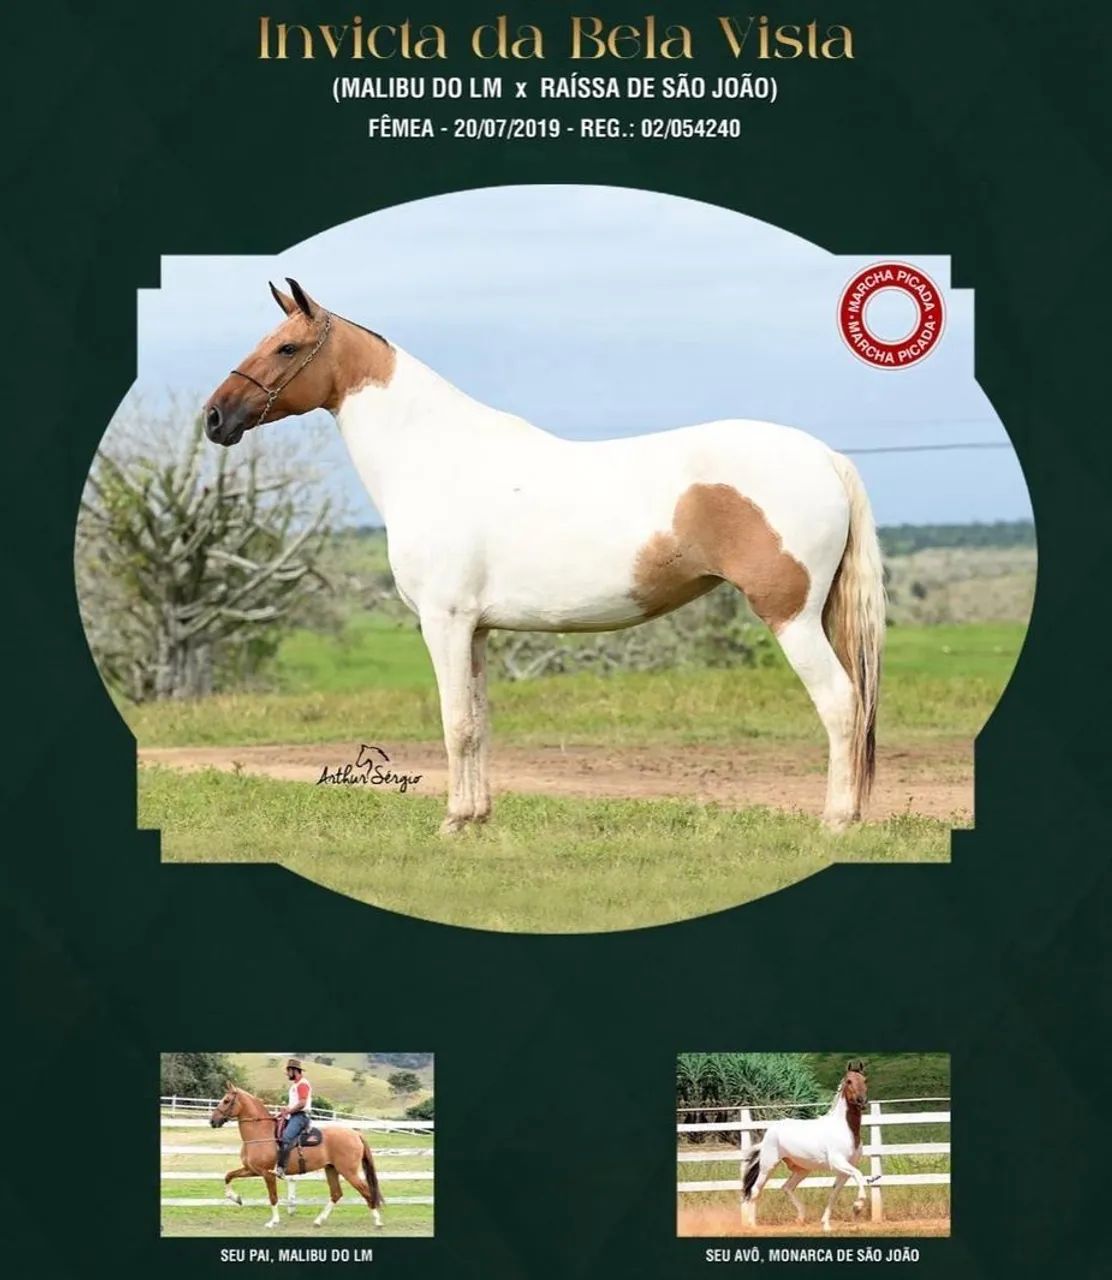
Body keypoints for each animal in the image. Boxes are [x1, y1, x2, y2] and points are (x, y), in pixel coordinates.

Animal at [202, 279, 885, 833]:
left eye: (287, 348)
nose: (214, 417)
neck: (433, 456)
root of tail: (826, 457)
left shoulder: (444, 622)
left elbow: (455, 722)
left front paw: (452, 823)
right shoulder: (475, 630)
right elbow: (479, 722)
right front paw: (477, 817)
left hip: (791, 617)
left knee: (840, 704)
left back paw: (835, 822)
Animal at [209, 1084, 384, 1229]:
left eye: (226, 1100)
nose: (212, 1121)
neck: (261, 1133)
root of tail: (355, 1134)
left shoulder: (267, 1174)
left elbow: (273, 1197)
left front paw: (273, 1222)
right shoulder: (251, 1170)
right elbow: (228, 1176)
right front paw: (235, 1198)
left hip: (348, 1172)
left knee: (366, 1192)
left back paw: (378, 1221)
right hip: (331, 1169)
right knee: (336, 1194)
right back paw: (318, 1221)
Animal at [741, 1062, 872, 1232]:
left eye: (865, 1080)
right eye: (849, 1081)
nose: (861, 1101)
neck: (845, 1129)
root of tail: (770, 1131)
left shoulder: (844, 1170)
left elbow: (834, 1193)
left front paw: (826, 1225)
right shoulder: (838, 1162)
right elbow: (859, 1175)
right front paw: (858, 1206)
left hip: (802, 1169)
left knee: (787, 1187)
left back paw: (800, 1218)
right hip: (768, 1165)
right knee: (755, 1190)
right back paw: (752, 1225)